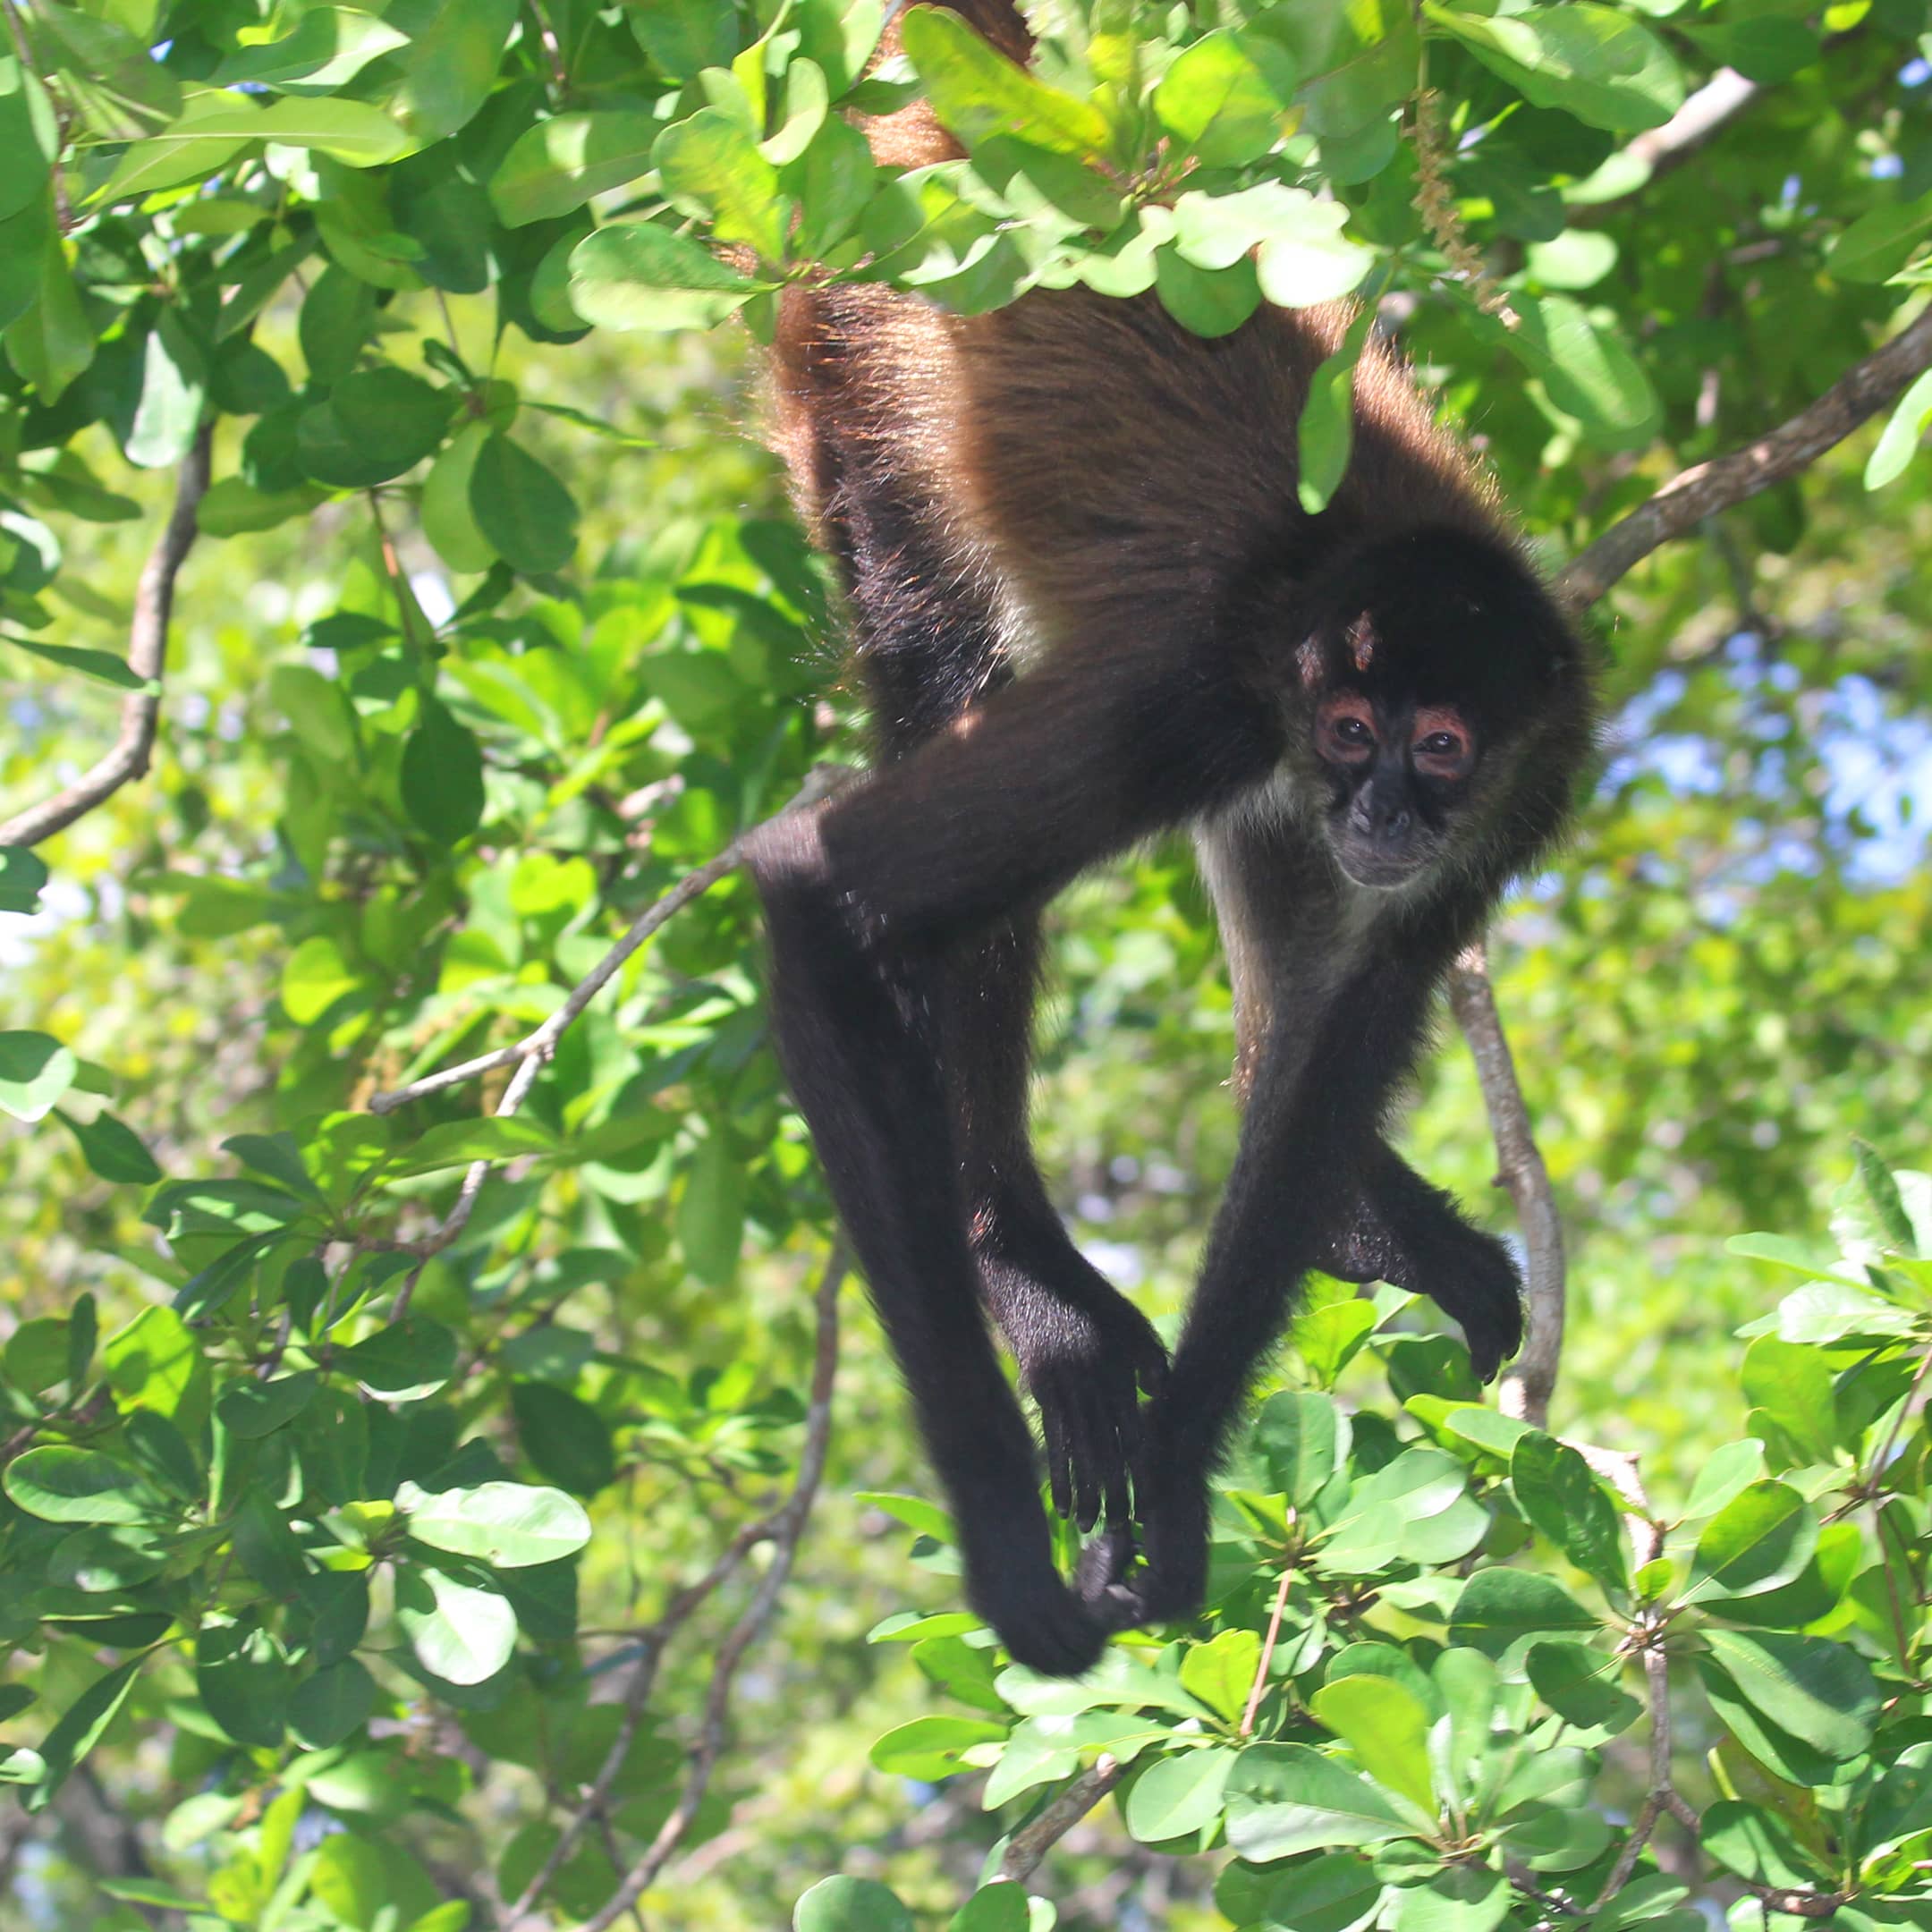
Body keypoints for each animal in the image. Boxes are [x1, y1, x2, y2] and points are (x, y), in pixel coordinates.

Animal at [740, 0, 1595, 1676]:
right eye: (1353, 727)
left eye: (1441, 748)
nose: (1378, 807)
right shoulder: (1196, 699)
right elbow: (818, 892)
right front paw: (1016, 1570)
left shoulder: (1536, 768)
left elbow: (1357, 1020)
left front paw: (1188, 1459)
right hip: (847, 367)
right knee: (942, 679)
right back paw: (1025, 1276)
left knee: (1286, 955)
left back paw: (1359, 1220)